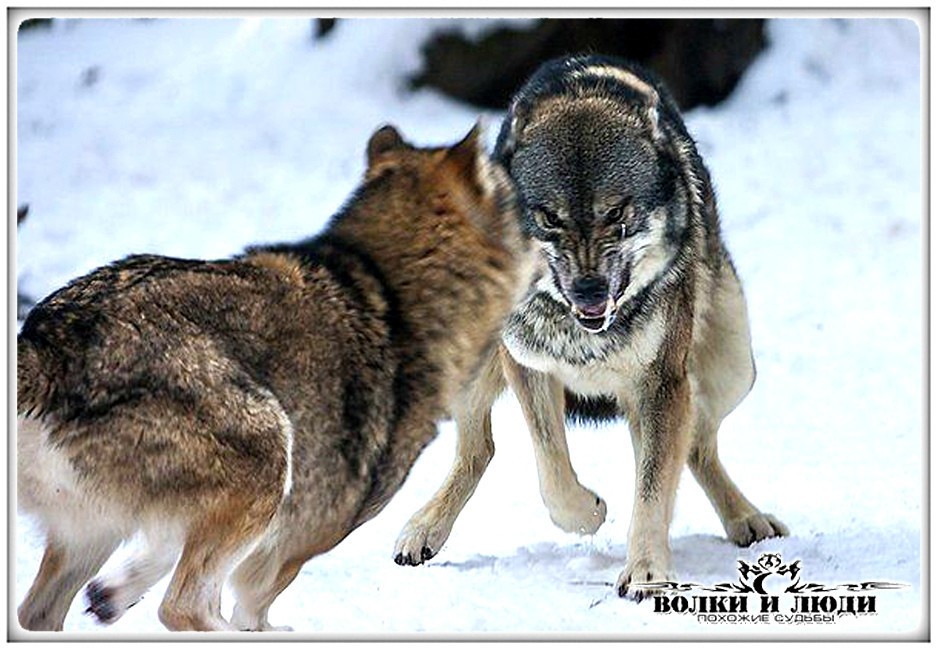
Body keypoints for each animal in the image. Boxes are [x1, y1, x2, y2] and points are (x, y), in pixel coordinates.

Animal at [16, 125, 532, 636]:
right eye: (514, 201)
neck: (390, 297)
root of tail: (51, 345)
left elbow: (156, 552)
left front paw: (111, 594)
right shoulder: (295, 543)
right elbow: (248, 605)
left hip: (89, 536)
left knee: (36, 613)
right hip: (269, 449)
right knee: (182, 608)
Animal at [392, 56, 788, 600]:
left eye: (616, 213)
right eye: (549, 218)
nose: (588, 291)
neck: (585, 337)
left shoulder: (661, 383)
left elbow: (651, 487)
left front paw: (646, 571)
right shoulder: (527, 365)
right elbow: (552, 472)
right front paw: (588, 514)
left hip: (729, 369)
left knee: (694, 447)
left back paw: (747, 520)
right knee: (479, 449)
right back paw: (423, 529)